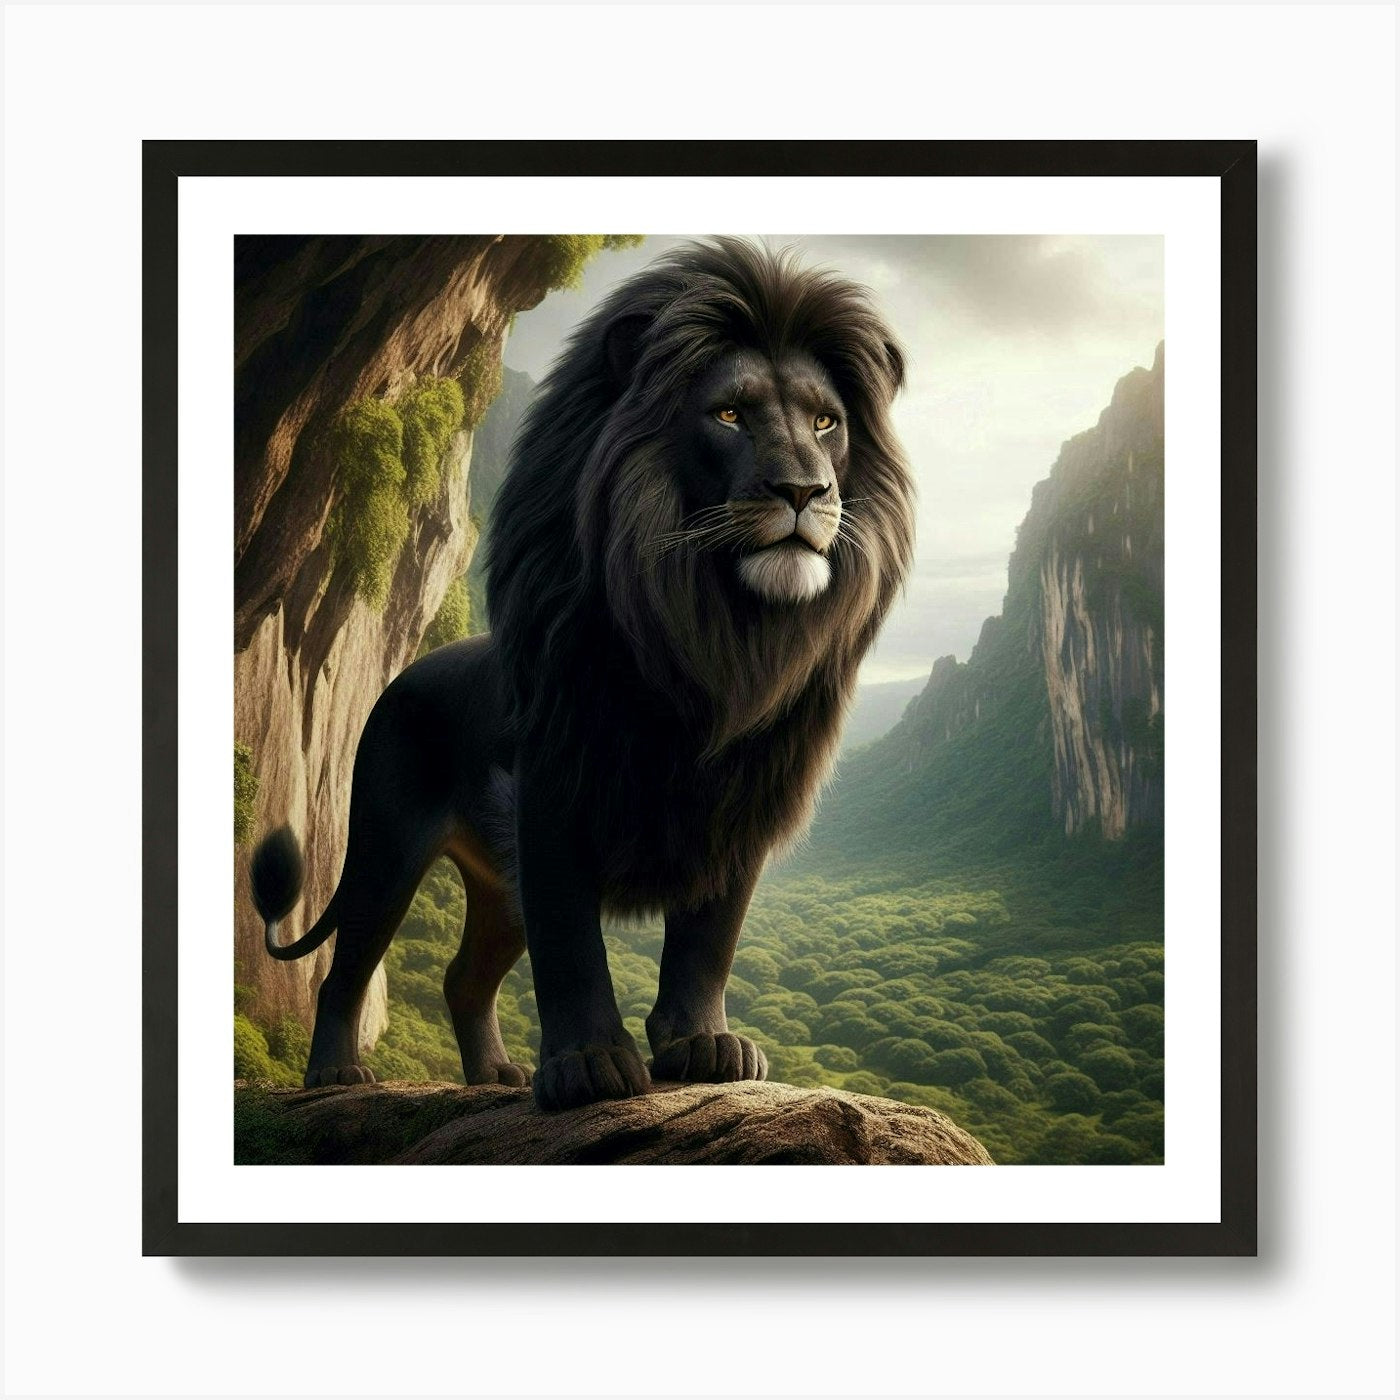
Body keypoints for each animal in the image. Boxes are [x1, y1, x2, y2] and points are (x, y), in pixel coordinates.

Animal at [250, 237, 915, 1110]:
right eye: (729, 414)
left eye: (826, 421)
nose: (806, 489)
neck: (715, 636)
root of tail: (401, 678)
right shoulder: (554, 791)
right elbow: (570, 942)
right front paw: (590, 1066)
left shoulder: (739, 805)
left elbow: (709, 939)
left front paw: (704, 1045)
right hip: (388, 844)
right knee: (346, 967)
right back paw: (336, 1072)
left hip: (496, 883)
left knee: (463, 978)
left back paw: (495, 1076)